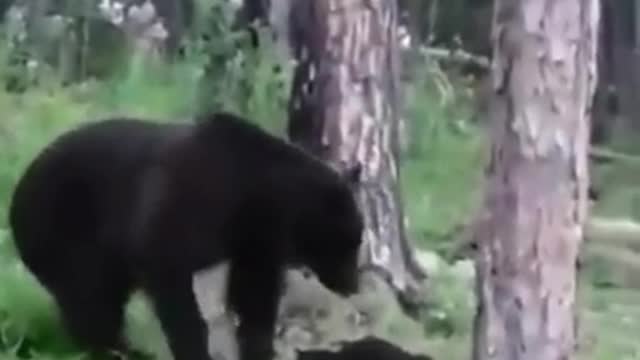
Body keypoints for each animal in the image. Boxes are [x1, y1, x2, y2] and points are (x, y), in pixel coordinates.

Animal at [8, 112, 364, 360]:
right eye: (349, 241)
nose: (353, 284)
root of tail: (15, 200)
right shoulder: (187, 203)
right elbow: (167, 273)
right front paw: (194, 348)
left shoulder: (253, 241)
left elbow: (254, 297)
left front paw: (258, 347)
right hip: (66, 232)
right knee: (90, 298)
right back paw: (122, 349)